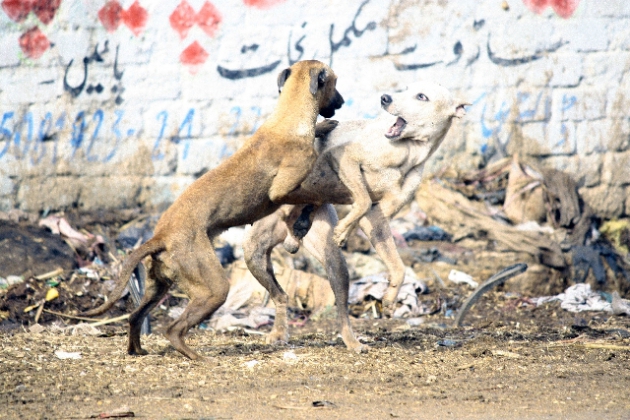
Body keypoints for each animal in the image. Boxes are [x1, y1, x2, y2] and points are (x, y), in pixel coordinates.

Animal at [82, 60, 346, 360]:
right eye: (335, 82)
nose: (342, 102)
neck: (288, 119)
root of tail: (160, 236)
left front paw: (323, 127)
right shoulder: (283, 190)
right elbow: (314, 196)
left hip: (157, 287)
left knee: (134, 317)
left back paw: (136, 349)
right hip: (214, 288)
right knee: (173, 329)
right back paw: (195, 356)